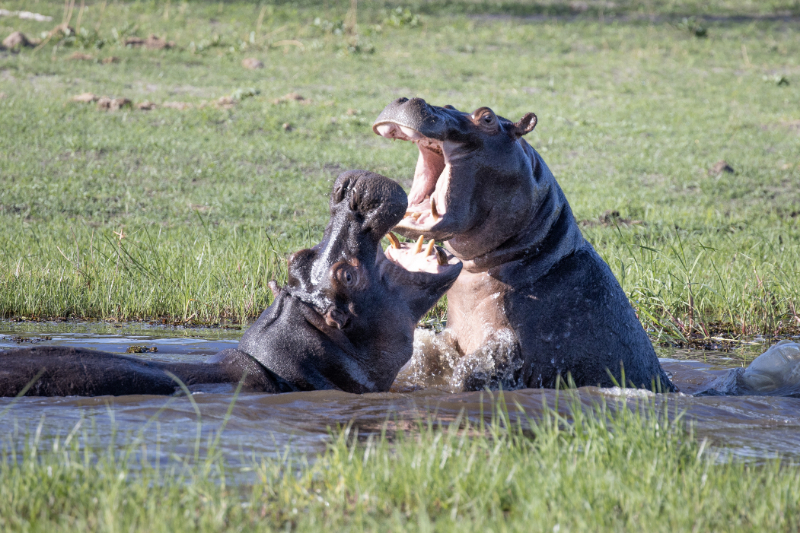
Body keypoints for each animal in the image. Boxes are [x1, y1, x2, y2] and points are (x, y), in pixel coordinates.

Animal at [373, 98, 675, 392]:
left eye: (487, 118)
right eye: (448, 104)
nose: (408, 98)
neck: (536, 254)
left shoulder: (508, 343)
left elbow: (471, 373)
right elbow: (427, 356)